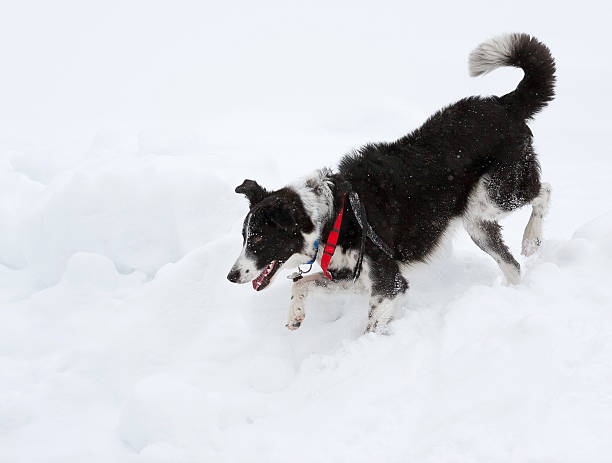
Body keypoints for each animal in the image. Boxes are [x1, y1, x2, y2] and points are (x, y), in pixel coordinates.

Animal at [227, 33, 556, 334]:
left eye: (259, 238)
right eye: (244, 236)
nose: (231, 276)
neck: (333, 214)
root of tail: (503, 105)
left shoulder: (389, 283)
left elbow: (371, 327)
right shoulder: (350, 278)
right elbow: (301, 283)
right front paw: (295, 314)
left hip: (496, 194)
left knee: (544, 190)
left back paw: (531, 239)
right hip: (478, 221)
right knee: (512, 265)